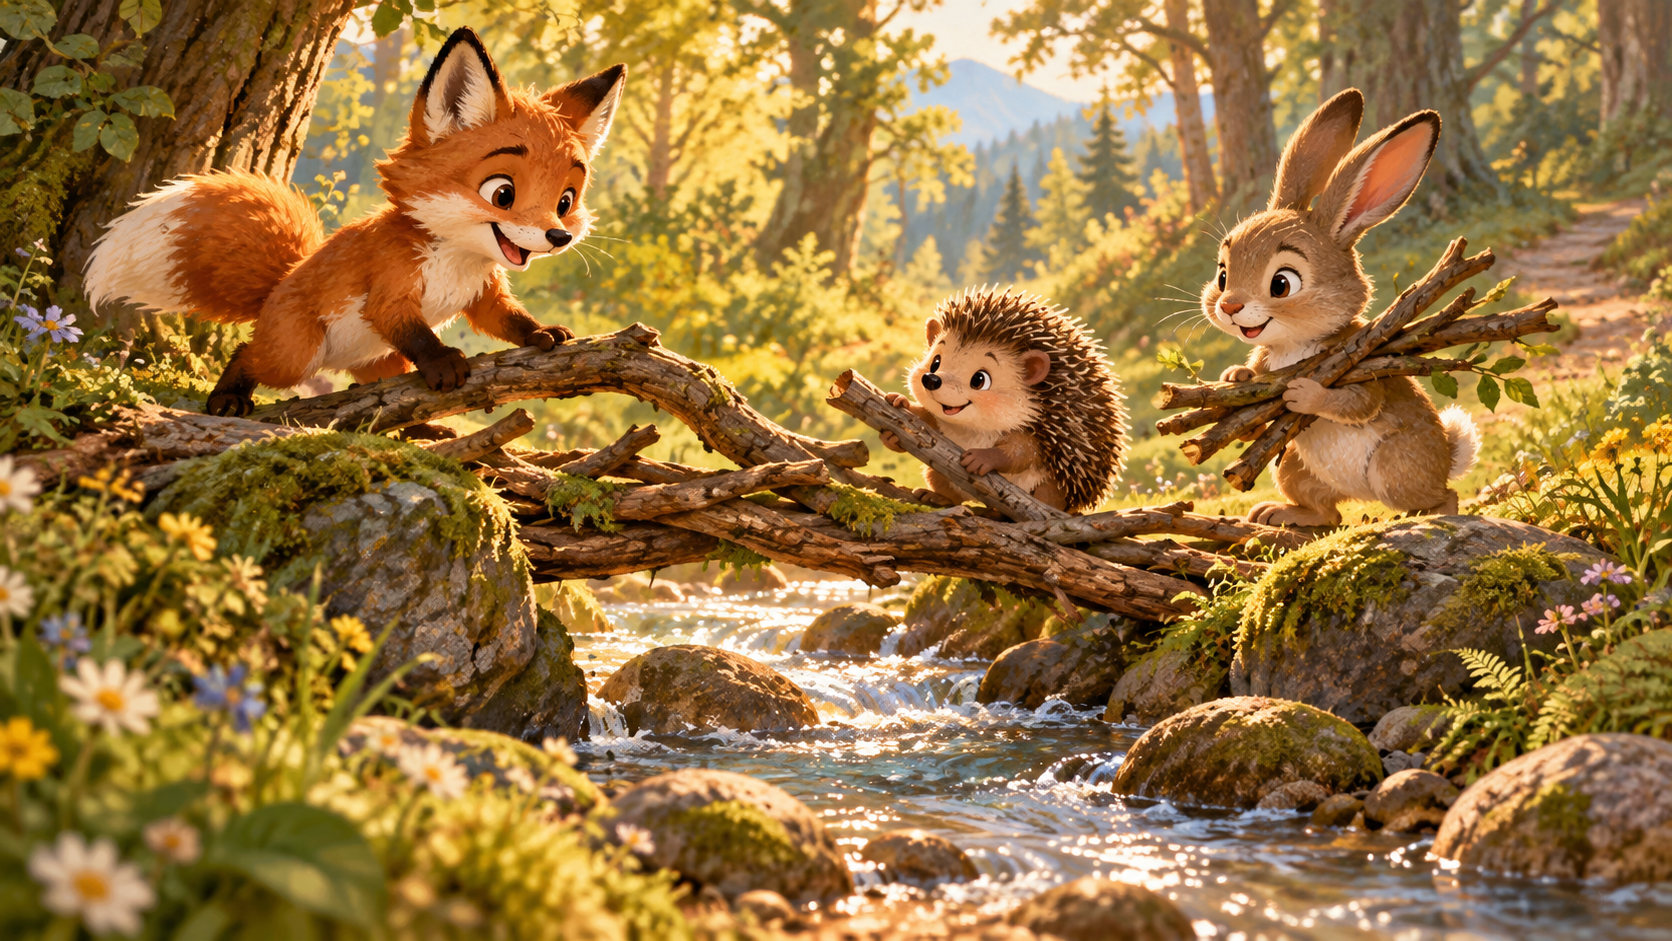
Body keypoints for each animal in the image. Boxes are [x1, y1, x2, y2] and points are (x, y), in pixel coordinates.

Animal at [84, 27, 626, 417]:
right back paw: (228, 399)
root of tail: (277, 285)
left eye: (565, 200)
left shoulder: (483, 296)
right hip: (295, 356)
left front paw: (541, 334)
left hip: (380, 363)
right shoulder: (390, 288)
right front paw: (444, 362)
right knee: (245, 353)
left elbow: (508, 320)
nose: (558, 236)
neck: (455, 259)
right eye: (503, 193)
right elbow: (414, 331)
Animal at [1199, 88, 1479, 528]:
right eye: (1223, 275)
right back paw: (1276, 513)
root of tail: (1450, 457)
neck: (1294, 347)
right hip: (1292, 465)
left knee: (1440, 495)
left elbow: (1358, 402)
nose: (1229, 305)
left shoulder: (1358, 364)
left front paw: (1303, 394)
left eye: (1282, 284)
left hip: (1394, 466)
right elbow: (1252, 422)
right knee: (1327, 514)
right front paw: (1235, 376)